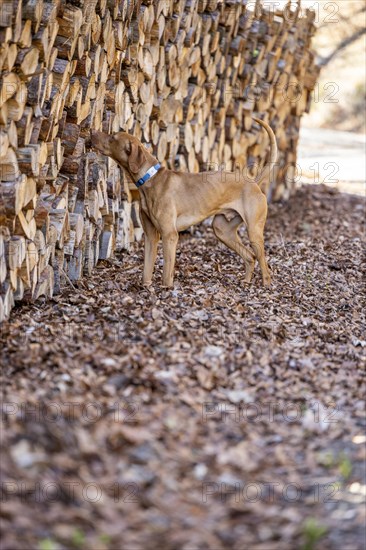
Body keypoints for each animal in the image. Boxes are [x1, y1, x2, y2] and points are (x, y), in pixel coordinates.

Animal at [91, 119, 278, 292]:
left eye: (113, 138)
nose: (93, 132)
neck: (150, 178)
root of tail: (253, 183)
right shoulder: (151, 236)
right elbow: (146, 269)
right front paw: (146, 287)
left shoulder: (170, 235)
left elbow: (167, 272)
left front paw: (166, 290)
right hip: (222, 230)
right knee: (250, 257)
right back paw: (246, 282)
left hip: (253, 232)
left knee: (263, 262)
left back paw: (266, 285)